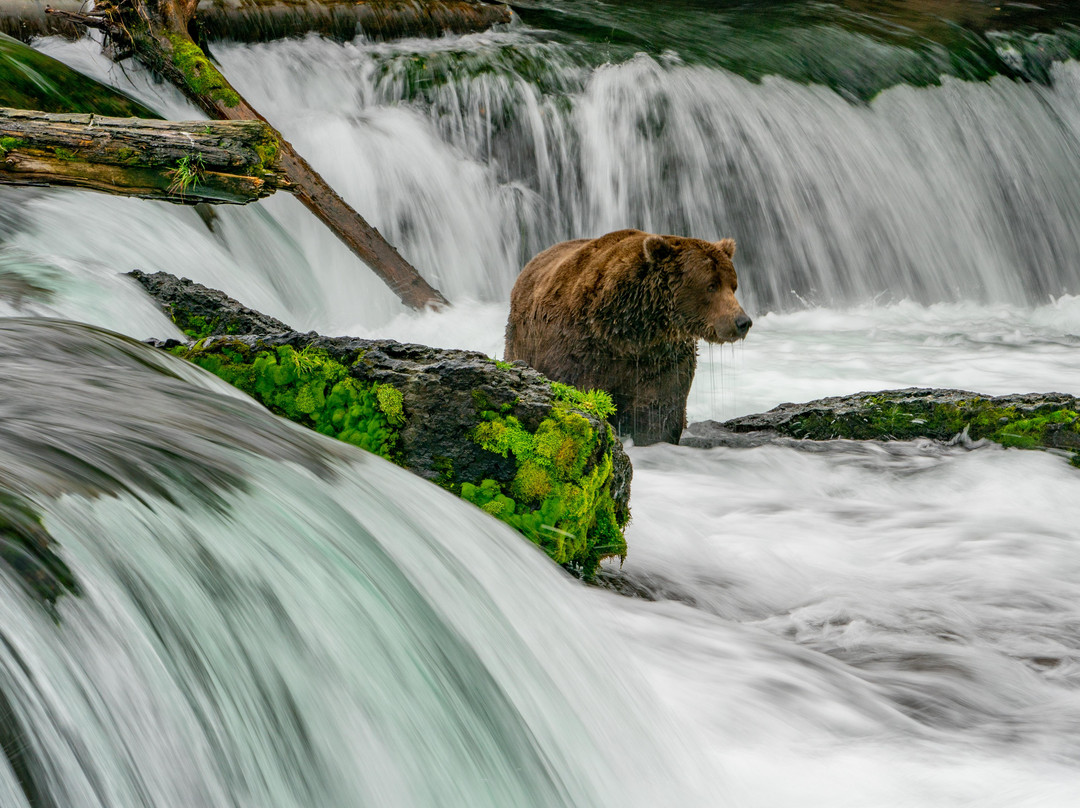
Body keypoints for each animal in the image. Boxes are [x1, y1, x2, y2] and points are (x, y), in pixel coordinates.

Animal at [503, 230, 751, 445]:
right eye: (711, 285)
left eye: (733, 285)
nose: (742, 322)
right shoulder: (578, 348)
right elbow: (574, 386)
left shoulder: (662, 357)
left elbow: (658, 410)